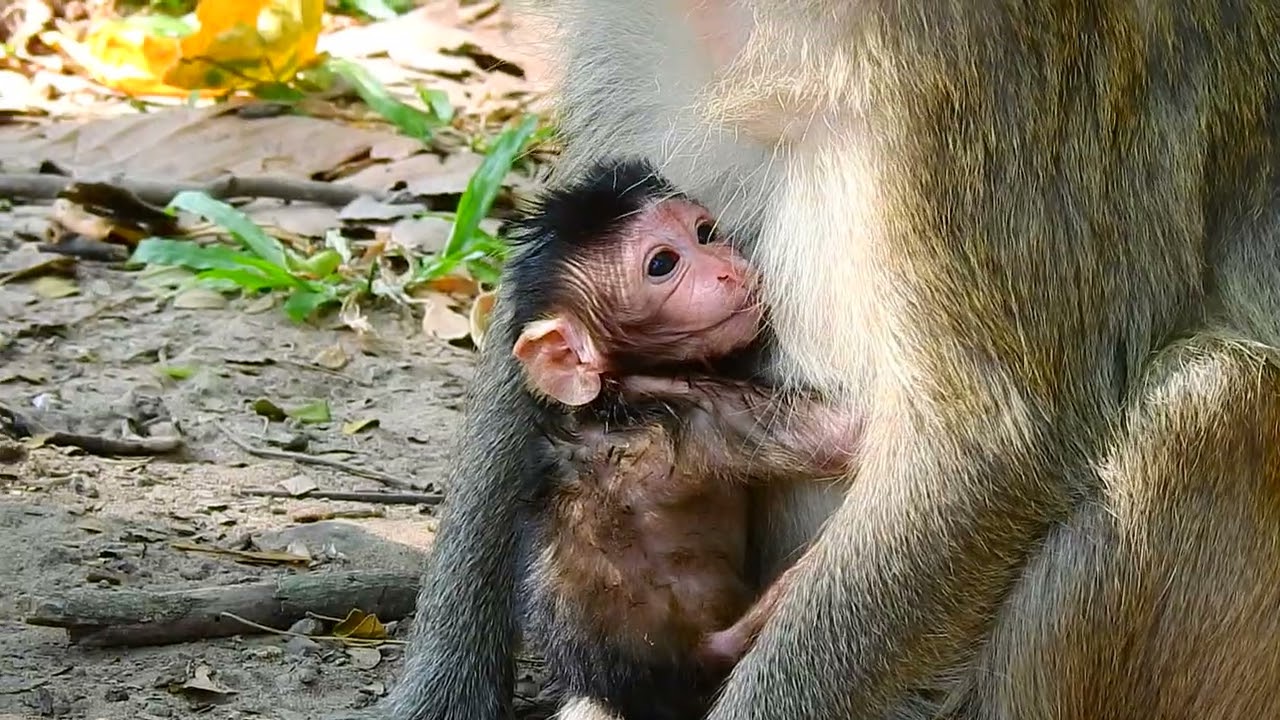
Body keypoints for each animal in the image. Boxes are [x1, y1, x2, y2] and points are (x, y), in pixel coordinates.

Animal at [505, 158, 859, 720]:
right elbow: (849, 432)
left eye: (704, 234)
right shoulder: (701, 411)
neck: (614, 389)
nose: (726, 268)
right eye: (662, 264)